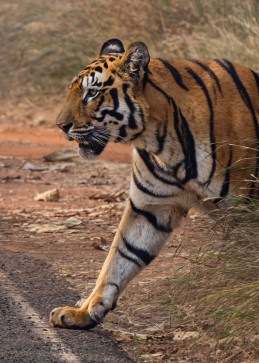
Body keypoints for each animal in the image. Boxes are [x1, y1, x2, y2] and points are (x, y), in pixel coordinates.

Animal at [49, 39, 258, 330]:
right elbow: (120, 257)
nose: (60, 125)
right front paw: (85, 312)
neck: (161, 140)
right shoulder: (150, 208)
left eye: (92, 93)